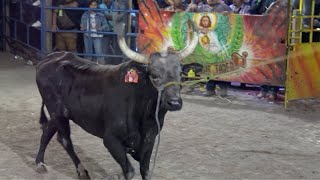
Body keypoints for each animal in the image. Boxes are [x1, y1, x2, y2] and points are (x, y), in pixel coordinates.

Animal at [34, 28, 198, 180]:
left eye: (181, 74)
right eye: (154, 75)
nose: (174, 102)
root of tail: (51, 57)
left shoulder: (150, 139)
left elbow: (145, 170)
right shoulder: (111, 140)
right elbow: (129, 171)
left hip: (58, 114)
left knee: (48, 131)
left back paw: (40, 162)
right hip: (56, 112)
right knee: (65, 140)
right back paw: (79, 171)